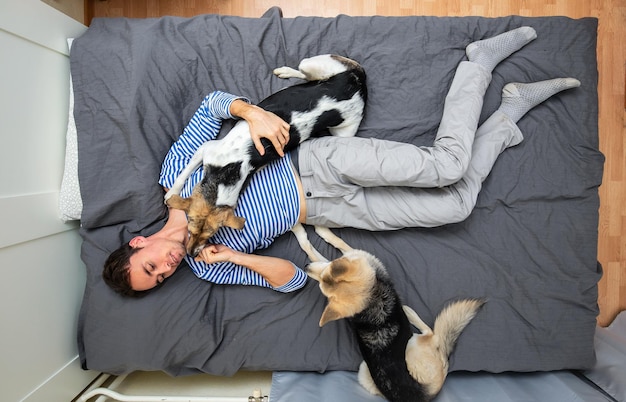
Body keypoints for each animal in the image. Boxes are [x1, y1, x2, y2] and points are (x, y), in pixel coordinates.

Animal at [163, 55, 366, 256]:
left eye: (211, 235)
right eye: (190, 228)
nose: (192, 254)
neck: (226, 175)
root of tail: (358, 81)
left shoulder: (209, 151)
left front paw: (171, 194)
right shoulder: (205, 149)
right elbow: (183, 173)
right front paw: (173, 192)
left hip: (343, 129)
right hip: (315, 69)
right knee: (307, 76)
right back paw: (286, 72)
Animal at [296, 225, 482, 400]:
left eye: (328, 269)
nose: (305, 267)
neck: (372, 295)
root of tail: (431, 392)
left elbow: (327, 247)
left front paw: (314, 230)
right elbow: (323, 247)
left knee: (431, 333)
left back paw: (409, 312)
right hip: (372, 368)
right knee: (431, 333)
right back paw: (409, 312)